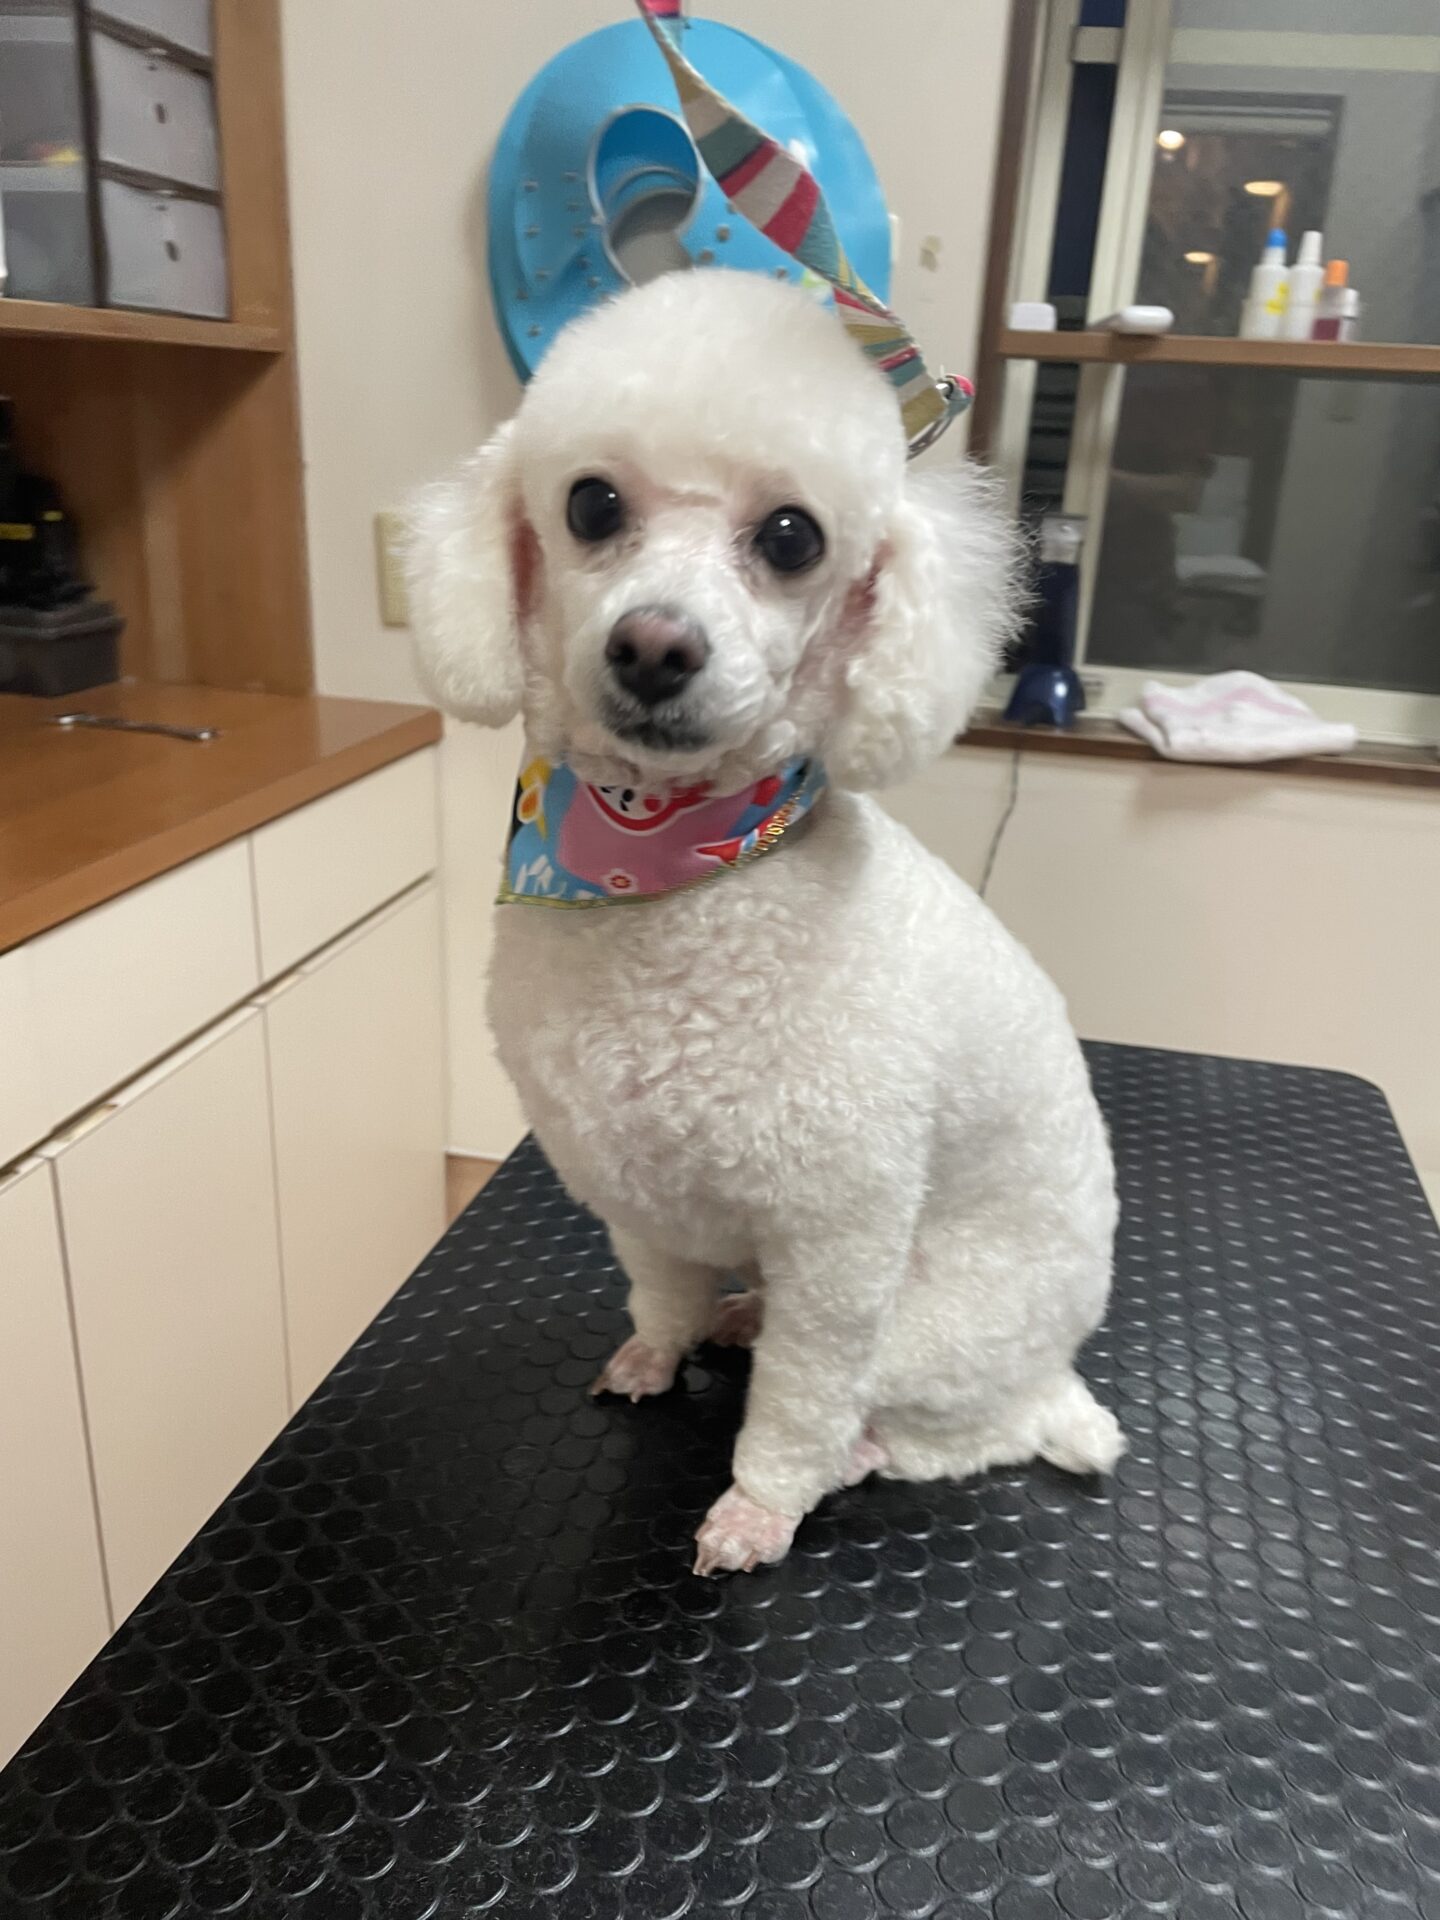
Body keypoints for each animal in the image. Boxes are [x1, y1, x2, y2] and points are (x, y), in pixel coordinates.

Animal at [408, 269, 1123, 1576]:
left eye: (792, 537)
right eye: (591, 503)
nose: (654, 646)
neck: (667, 870)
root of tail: (1057, 1370)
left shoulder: (840, 1237)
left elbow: (798, 1395)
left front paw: (759, 1505)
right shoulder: (628, 1181)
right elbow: (659, 1289)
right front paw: (660, 1350)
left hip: (933, 1334)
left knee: (945, 1433)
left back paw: (856, 1450)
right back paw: (736, 1314)